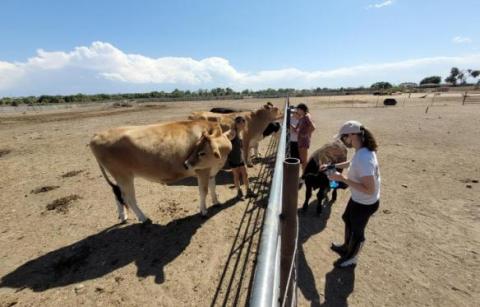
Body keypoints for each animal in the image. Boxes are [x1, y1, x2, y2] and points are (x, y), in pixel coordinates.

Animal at [91, 120, 233, 224]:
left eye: (201, 151)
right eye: (196, 149)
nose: (186, 164)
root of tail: (97, 135)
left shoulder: (212, 171)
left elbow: (213, 186)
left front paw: (216, 202)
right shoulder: (202, 170)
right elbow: (204, 191)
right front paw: (203, 211)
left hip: (119, 176)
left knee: (117, 194)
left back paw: (123, 216)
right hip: (123, 175)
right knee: (129, 198)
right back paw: (143, 218)